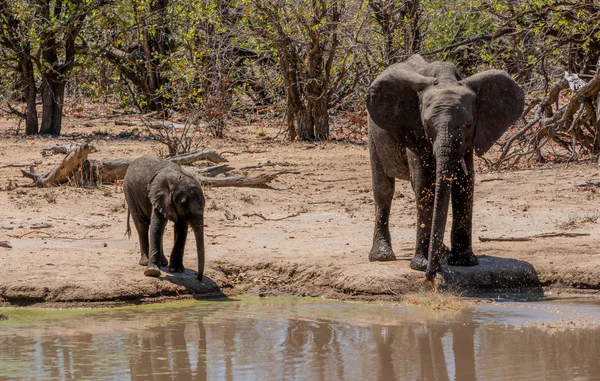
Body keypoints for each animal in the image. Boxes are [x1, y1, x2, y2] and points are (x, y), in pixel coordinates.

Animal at [364, 54, 524, 280]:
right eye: (427, 125)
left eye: (468, 125)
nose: (431, 275)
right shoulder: (415, 131)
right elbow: (424, 186)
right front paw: (421, 265)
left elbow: (465, 184)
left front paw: (464, 262)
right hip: (373, 132)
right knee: (384, 190)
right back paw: (382, 256)